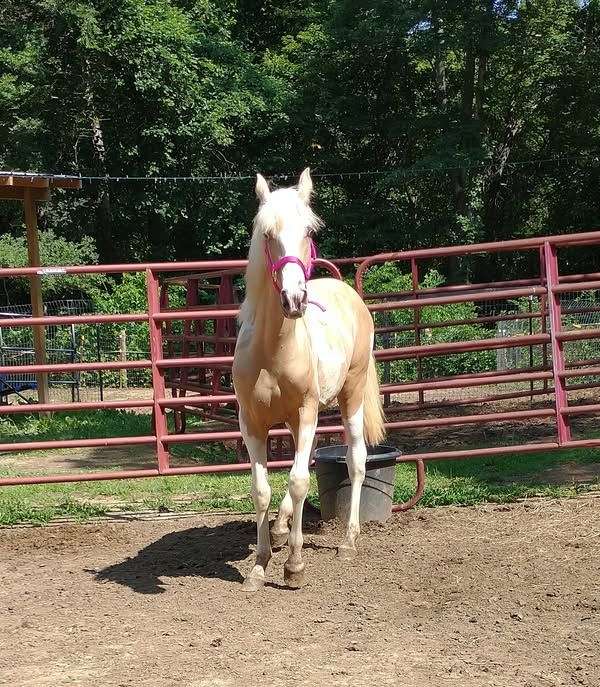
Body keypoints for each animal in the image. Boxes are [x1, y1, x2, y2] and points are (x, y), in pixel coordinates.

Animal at [231, 168, 384, 592]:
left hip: (349, 396)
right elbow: (261, 489)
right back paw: (282, 528)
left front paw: (294, 565)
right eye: (268, 233)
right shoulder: (252, 422)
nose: (294, 299)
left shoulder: (306, 411)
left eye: (309, 231)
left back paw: (348, 541)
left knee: (356, 460)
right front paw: (260, 564)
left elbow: (299, 481)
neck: (273, 349)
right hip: (296, 419)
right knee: (311, 458)